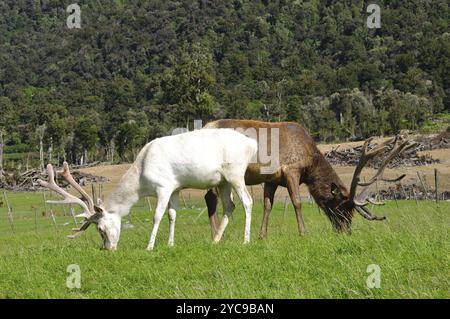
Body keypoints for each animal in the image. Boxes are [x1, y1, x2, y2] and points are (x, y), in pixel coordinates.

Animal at [39, 129, 256, 251]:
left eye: (100, 229)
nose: (107, 248)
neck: (141, 181)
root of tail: (251, 143)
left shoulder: (163, 186)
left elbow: (157, 215)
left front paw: (150, 246)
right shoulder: (176, 188)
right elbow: (172, 215)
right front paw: (170, 244)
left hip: (236, 173)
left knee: (247, 201)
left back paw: (245, 240)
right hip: (223, 181)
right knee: (230, 205)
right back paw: (216, 240)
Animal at [204, 120, 412, 238]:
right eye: (342, 208)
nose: (347, 232)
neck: (310, 163)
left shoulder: (271, 179)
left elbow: (267, 205)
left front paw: (262, 235)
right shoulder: (291, 169)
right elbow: (296, 202)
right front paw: (303, 233)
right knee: (211, 198)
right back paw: (215, 233)